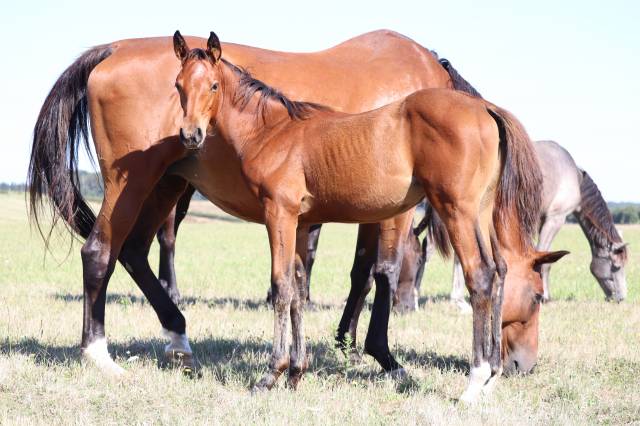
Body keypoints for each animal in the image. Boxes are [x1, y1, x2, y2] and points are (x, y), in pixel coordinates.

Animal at [28, 29, 476, 377]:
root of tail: (115, 48)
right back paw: (98, 353)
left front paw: (345, 341)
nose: (411, 306)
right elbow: (382, 271)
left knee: (135, 250)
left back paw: (178, 334)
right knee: (99, 252)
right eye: (423, 265)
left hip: (165, 184)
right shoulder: (392, 211)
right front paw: (383, 355)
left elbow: (359, 273)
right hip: (131, 183)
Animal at [170, 31, 567, 401]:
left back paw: (475, 381)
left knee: (481, 275)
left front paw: (271, 376)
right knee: (499, 271)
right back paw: (490, 378)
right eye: (178, 85)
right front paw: (296, 374)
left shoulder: (279, 214)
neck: (275, 132)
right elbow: (299, 289)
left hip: (457, 209)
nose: (191, 135)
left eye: (213, 85)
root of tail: (485, 109)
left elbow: (282, 287)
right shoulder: (299, 222)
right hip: (480, 213)